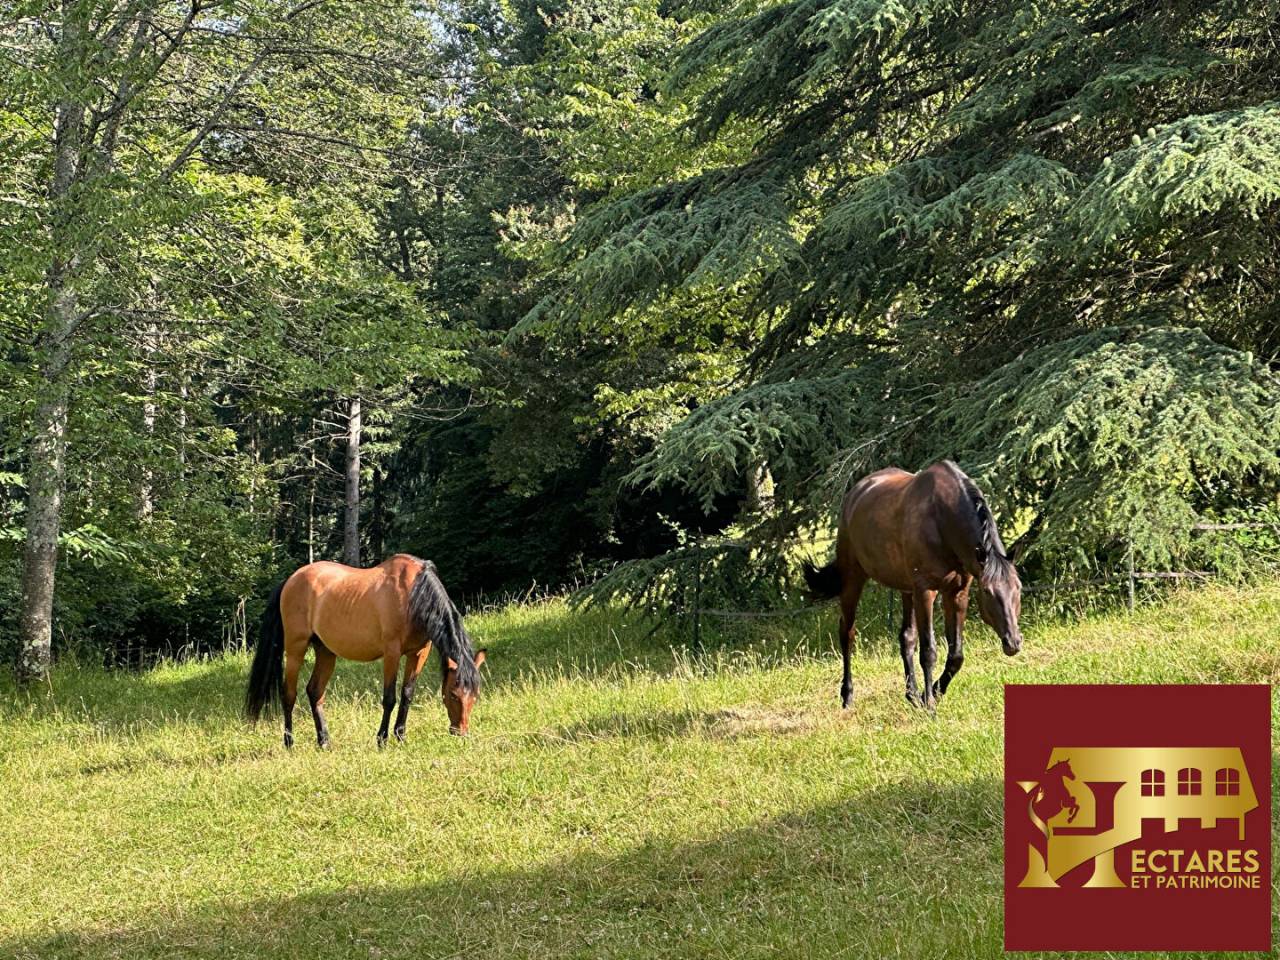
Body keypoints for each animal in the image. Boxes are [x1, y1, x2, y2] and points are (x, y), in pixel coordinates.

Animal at [244, 554, 486, 747]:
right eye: (453, 694)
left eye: (474, 695)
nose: (461, 732)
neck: (413, 595)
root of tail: (290, 580)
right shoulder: (392, 652)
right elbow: (389, 698)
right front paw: (382, 739)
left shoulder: (418, 653)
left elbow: (407, 694)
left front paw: (401, 737)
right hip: (296, 649)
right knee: (289, 695)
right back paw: (289, 742)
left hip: (326, 652)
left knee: (314, 692)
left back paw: (324, 741)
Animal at [803, 460, 1023, 710]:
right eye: (987, 592)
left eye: (1018, 588)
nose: (1013, 643)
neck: (942, 522)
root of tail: (854, 494)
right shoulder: (926, 591)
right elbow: (928, 651)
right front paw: (931, 705)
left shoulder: (957, 592)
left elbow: (955, 655)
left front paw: (933, 692)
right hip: (853, 579)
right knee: (847, 632)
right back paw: (848, 696)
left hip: (906, 589)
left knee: (906, 637)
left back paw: (913, 695)